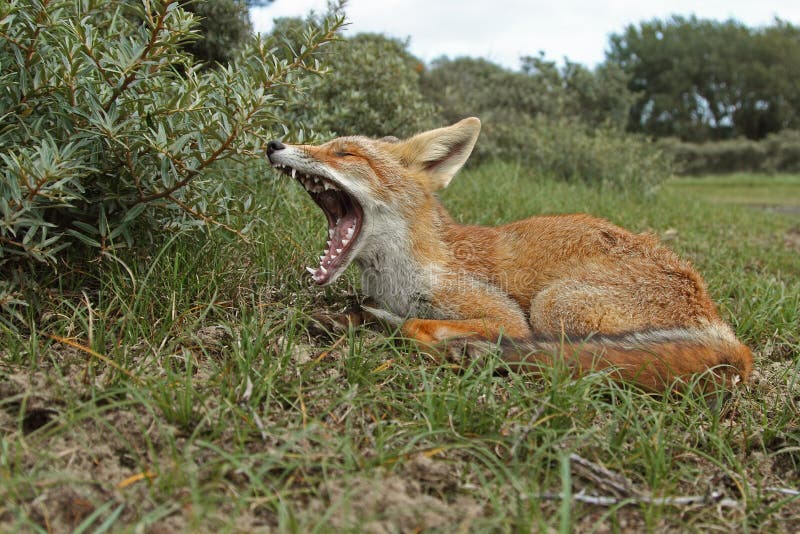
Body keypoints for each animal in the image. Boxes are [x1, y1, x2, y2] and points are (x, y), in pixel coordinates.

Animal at [266, 118, 752, 394]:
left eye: (344, 152)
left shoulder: (504, 316)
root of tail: (725, 332)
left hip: (555, 305)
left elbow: (418, 324)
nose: (273, 144)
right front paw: (343, 317)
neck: (396, 279)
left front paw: (381, 324)